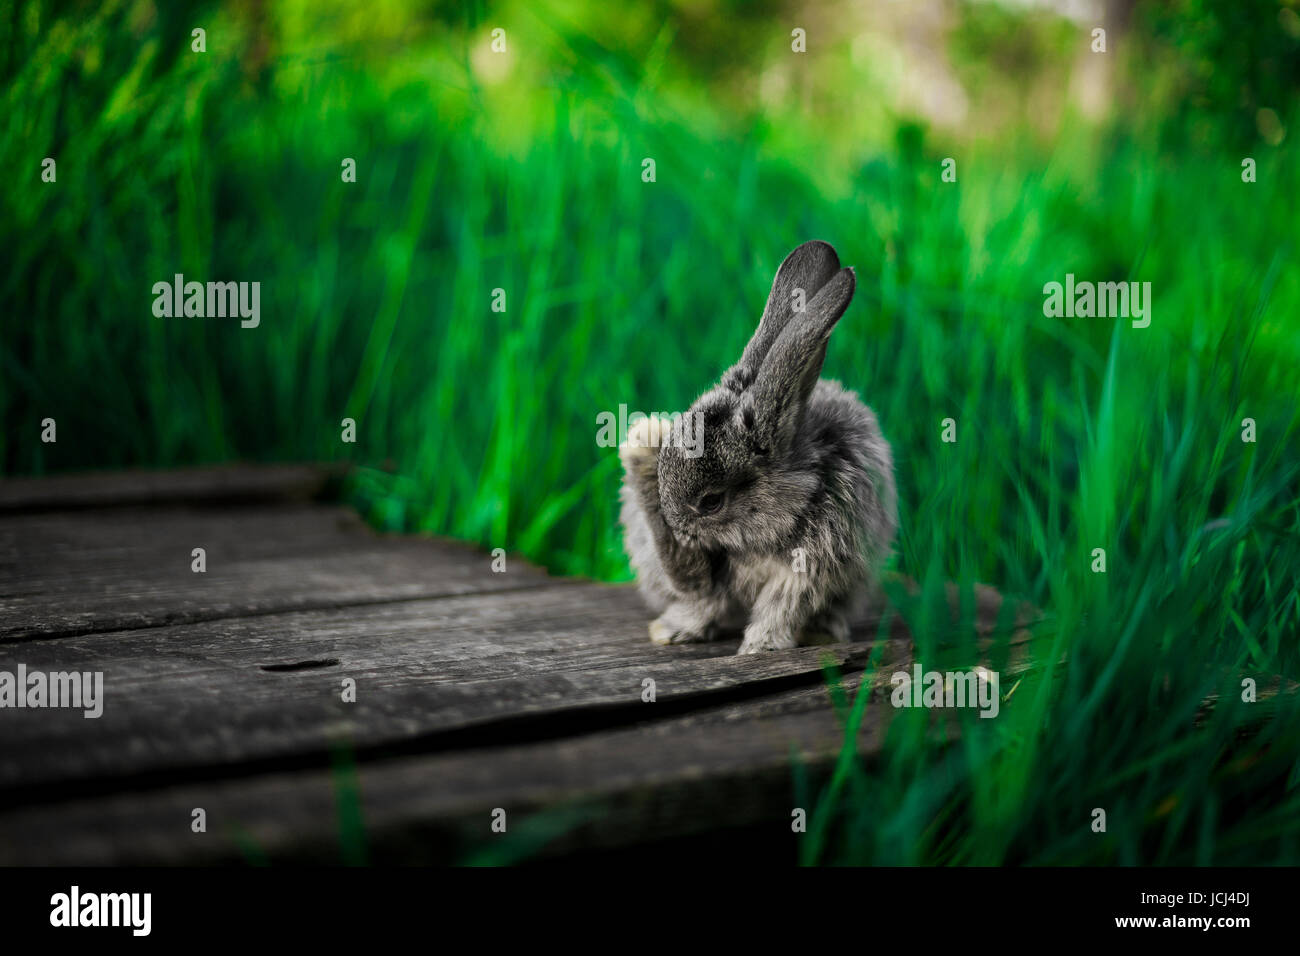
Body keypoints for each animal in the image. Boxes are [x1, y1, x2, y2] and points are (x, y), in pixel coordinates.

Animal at [616, 243, 894, 655]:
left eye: (712, 501)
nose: (679, 528)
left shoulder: (806, 573)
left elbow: (780, 607)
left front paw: (759, 648)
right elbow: (703, 599)